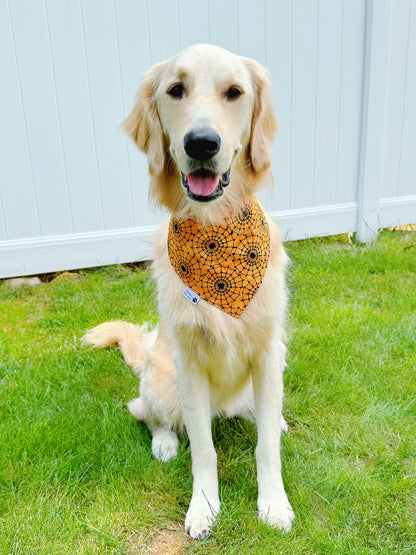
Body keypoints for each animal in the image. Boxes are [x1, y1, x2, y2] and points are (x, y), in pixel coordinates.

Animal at [83, 45, 294, 540]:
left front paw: (273, 503)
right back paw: (163, 443)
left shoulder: (268, 351)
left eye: (234, 92)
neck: (216, 234)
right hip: (162, 382)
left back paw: (273, 419)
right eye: (175, 90)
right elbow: (203, 449)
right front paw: (204, 507)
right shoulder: (190, 364)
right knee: (145, 412)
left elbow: (265, 448)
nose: (201, 143)